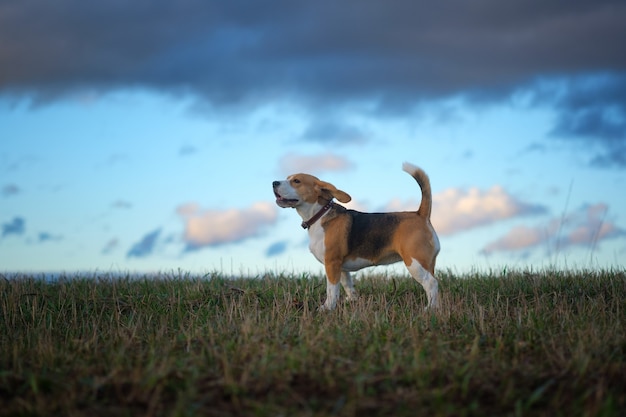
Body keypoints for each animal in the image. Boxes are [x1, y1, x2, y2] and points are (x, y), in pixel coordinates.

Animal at [270, 162, 438, 308]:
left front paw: (327, 308)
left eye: (296, 181)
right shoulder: (341, 267)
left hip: (414, 262)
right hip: (427, 264)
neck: (319, 213)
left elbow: (331, 289)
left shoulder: (331, 263)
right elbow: (347, 285)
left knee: (431, 283)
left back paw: (429, 309)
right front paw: (352, 301)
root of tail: (420, 214)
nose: (274, 183)